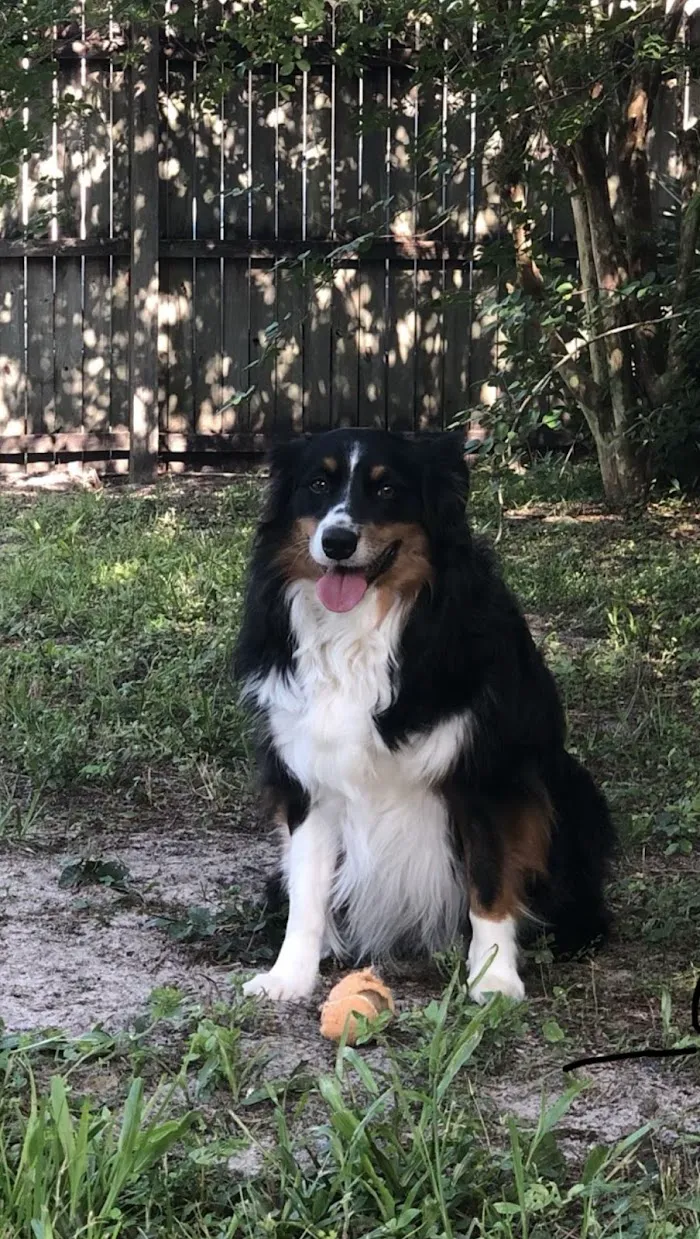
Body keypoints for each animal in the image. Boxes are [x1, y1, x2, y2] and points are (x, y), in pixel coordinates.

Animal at [234, 429, 614, 1003]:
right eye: (317, 484)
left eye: (387, 489)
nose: (337, 542)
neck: (363, 630)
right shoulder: (307, 778)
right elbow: (307, 887)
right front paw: (289, 974)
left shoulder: (487, 775)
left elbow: (490, 879)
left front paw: (494, 977)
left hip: (572, 788)